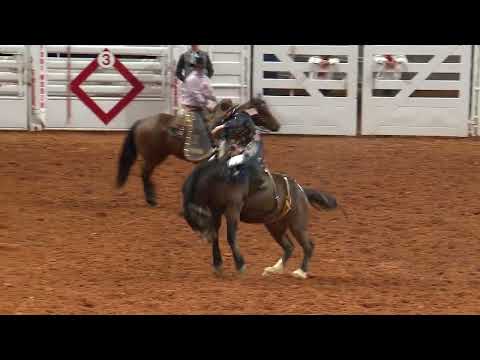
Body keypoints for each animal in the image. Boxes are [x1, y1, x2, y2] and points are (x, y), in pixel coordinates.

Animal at [116, 97, 282, 207]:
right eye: (263, 111)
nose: (277, 126)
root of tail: (141, 122)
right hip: (153, 157)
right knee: (145, 173)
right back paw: (151, 200)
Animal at [181, 154, 338, 278]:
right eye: (194, 226)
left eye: (200, 222)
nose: (205, 239)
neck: (221, 179)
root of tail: (301, 190)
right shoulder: (215, 211)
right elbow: (217, 237)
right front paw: (218, 265)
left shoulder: (233, 209)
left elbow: (230, 237)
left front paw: (240, 265)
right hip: (275, 225)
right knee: (289, 247)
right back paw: (274, 269)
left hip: (297, 225)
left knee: (308, 246)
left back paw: (301, 272)